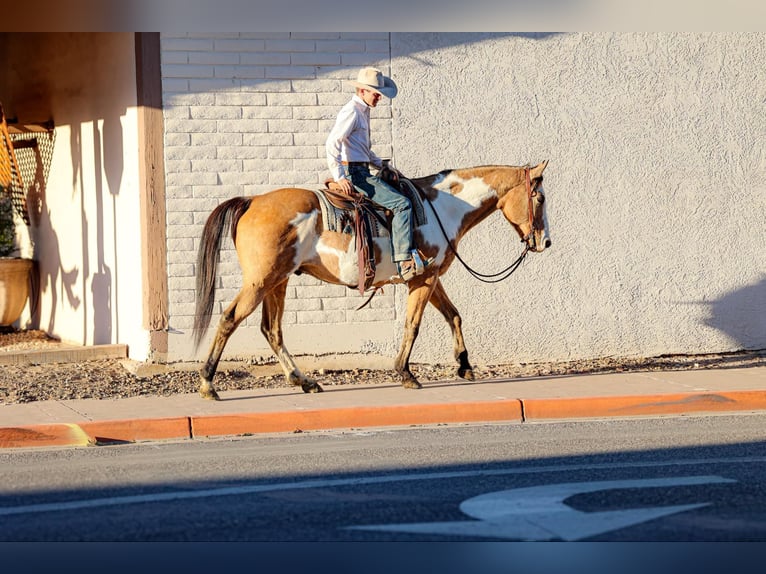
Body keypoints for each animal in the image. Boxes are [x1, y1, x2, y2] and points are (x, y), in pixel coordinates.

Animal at [193, 161, 550, 400]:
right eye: (540, 198)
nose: (545, 242)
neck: (442, 207)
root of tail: (252, 200)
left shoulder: (429, 277)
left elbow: (454, 315)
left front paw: (464, 365)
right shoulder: (422, 281)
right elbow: (413, 324)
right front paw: (406, 373)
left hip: (277, 282)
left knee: (272, 330)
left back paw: (305, 381)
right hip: (260, 281)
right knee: (230, 319)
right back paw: (208, 384)